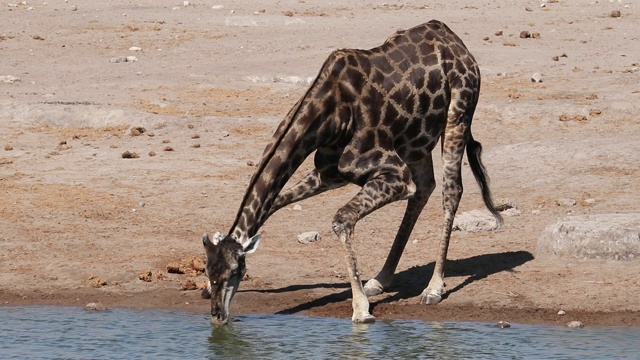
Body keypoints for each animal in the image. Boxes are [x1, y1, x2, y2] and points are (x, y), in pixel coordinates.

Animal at [202, 18, 502, 324]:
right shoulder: (329, 175)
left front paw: (360, 310)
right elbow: (275, 203)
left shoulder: (396, 175)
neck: (330, 115)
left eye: (234, 272)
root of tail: (454, 41)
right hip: (415, 140)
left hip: (457, 115)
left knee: (450, 191)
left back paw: (433, 288)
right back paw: (379, 280)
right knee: (426, 187)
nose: (217, 316)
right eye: (208, 270)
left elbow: (341, 219)